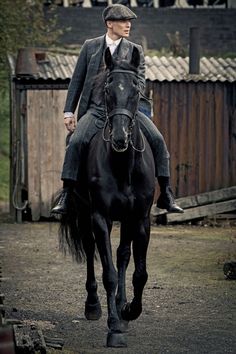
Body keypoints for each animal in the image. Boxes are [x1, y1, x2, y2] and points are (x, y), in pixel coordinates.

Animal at [58, 47, 155, 348]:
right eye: (108, 90)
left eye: (136, 90)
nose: (120, 139)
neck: (123, 166)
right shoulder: (100, 218)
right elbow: (109, 273)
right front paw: (114, 328)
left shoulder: (140, 219)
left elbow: (139, 272)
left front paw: (129, 311)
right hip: (85, 214)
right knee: (91, 251)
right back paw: (93, 306)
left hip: (125, 220)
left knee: (123, 255)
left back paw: (122, 308)